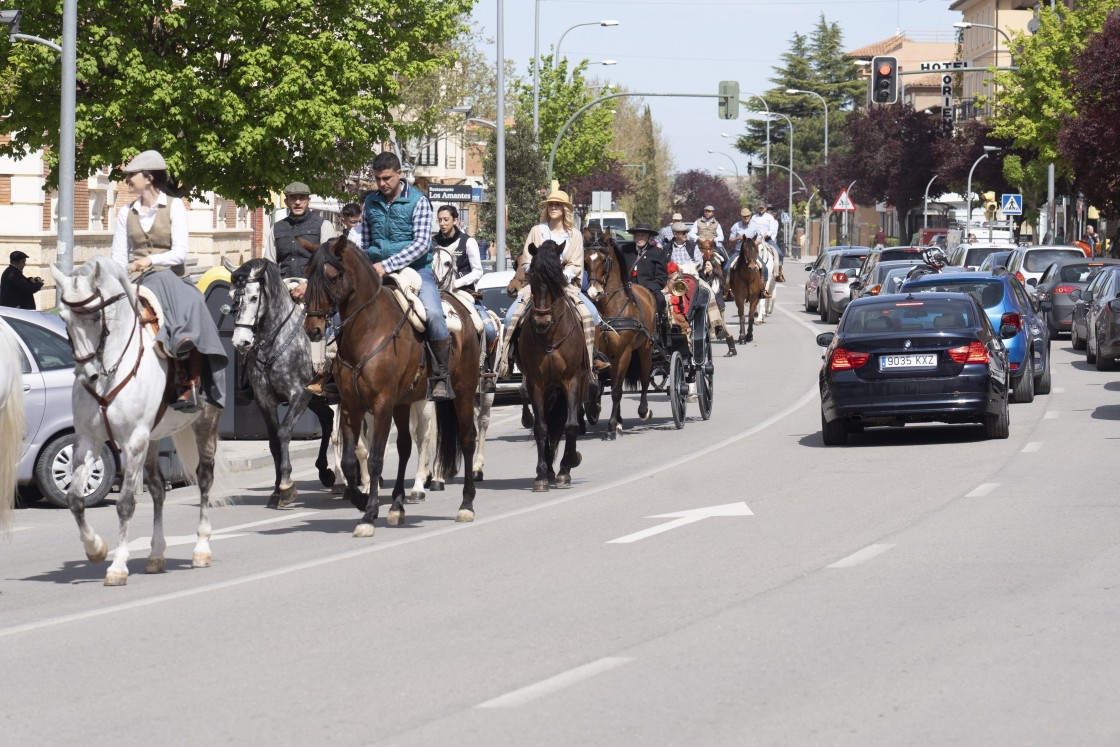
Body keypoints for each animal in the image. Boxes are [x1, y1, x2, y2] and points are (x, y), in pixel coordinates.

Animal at [52, 259, 225, 586]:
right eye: (64, 317)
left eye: (94, 315)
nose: (87, 375)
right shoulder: (89, 440)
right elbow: (75, 499)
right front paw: (95, 548)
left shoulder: (133, 439)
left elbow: (126, 503)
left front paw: (117, 566)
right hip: (154, 440)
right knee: (157, 488)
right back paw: (156, 555)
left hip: (204, 424)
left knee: (205, 478)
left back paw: (201, 549)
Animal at [226, 257, 331, 508]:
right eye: (232, 295)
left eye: (254, 297)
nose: (240, 341)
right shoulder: (265, 400)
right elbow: (274, 440)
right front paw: (275, 489)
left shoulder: (300, 395)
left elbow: (284, 433)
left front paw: (286, 485)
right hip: (317, 399)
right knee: (328, 419)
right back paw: (326, 472)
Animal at [302, 236, 481, 535]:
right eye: (307, 275)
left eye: (333, 277)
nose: (313, 328)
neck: (368, 330)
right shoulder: (351, 405)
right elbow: (350, 459)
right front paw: (361, 499)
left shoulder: (381, 404)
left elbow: (376, 458)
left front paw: (368, 514)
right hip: (404, 401)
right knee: (406, 446)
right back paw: (397, 507)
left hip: (463, 391)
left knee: (467, 439)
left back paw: (466, 504)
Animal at [515, 239, 586, 492]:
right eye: (533, 278)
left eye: (557, 279)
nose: (541, 321)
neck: (550, 338)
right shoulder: (536, 384)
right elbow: (541, 427)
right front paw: (541, 475)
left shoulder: (572, 381)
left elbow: (571, 425)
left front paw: (568, 466)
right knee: (550, 426)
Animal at [586, 228, 654, 439]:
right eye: (586, 260)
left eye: (604, 260)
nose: (593, 293)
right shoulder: (602, 353)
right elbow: (603, 385)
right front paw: (606, 418)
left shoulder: (623, 352)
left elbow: (617, 390)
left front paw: (611, 427)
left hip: (645, 350)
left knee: (645, 377)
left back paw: (643, 411)